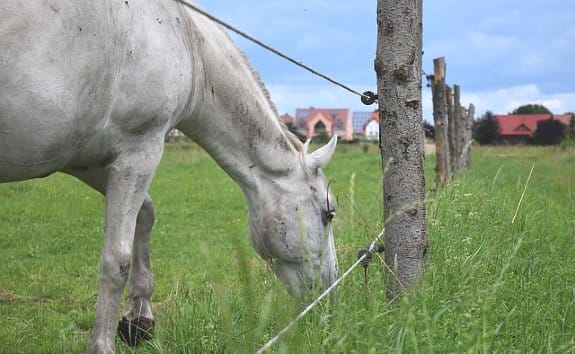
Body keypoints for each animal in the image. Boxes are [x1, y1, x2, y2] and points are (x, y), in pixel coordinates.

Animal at [0, 1, 340, 352]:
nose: (330, 294)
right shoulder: (140, 151)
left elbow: (146, 214)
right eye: (329, 213)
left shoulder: (89, 161)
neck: (188, 43)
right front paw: (104, 342)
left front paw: (139, 320)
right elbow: (117, 259)